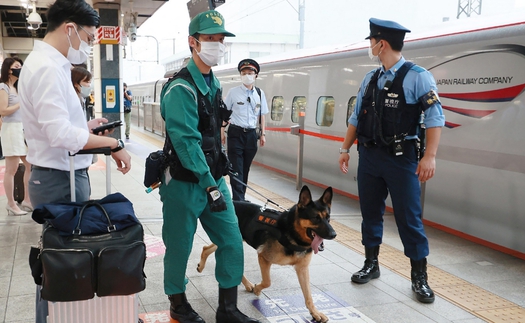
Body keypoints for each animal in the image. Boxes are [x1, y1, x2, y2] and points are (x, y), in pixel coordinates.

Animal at [196, 186, 336, 322]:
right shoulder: (263, 257)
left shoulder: (302, 269)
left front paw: (315, 313)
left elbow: (308, 296)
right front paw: (258, 289)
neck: (292, 232)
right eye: (315, 218)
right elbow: (267, 281)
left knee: (206, 248)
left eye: (328, 218)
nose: (334, 235)